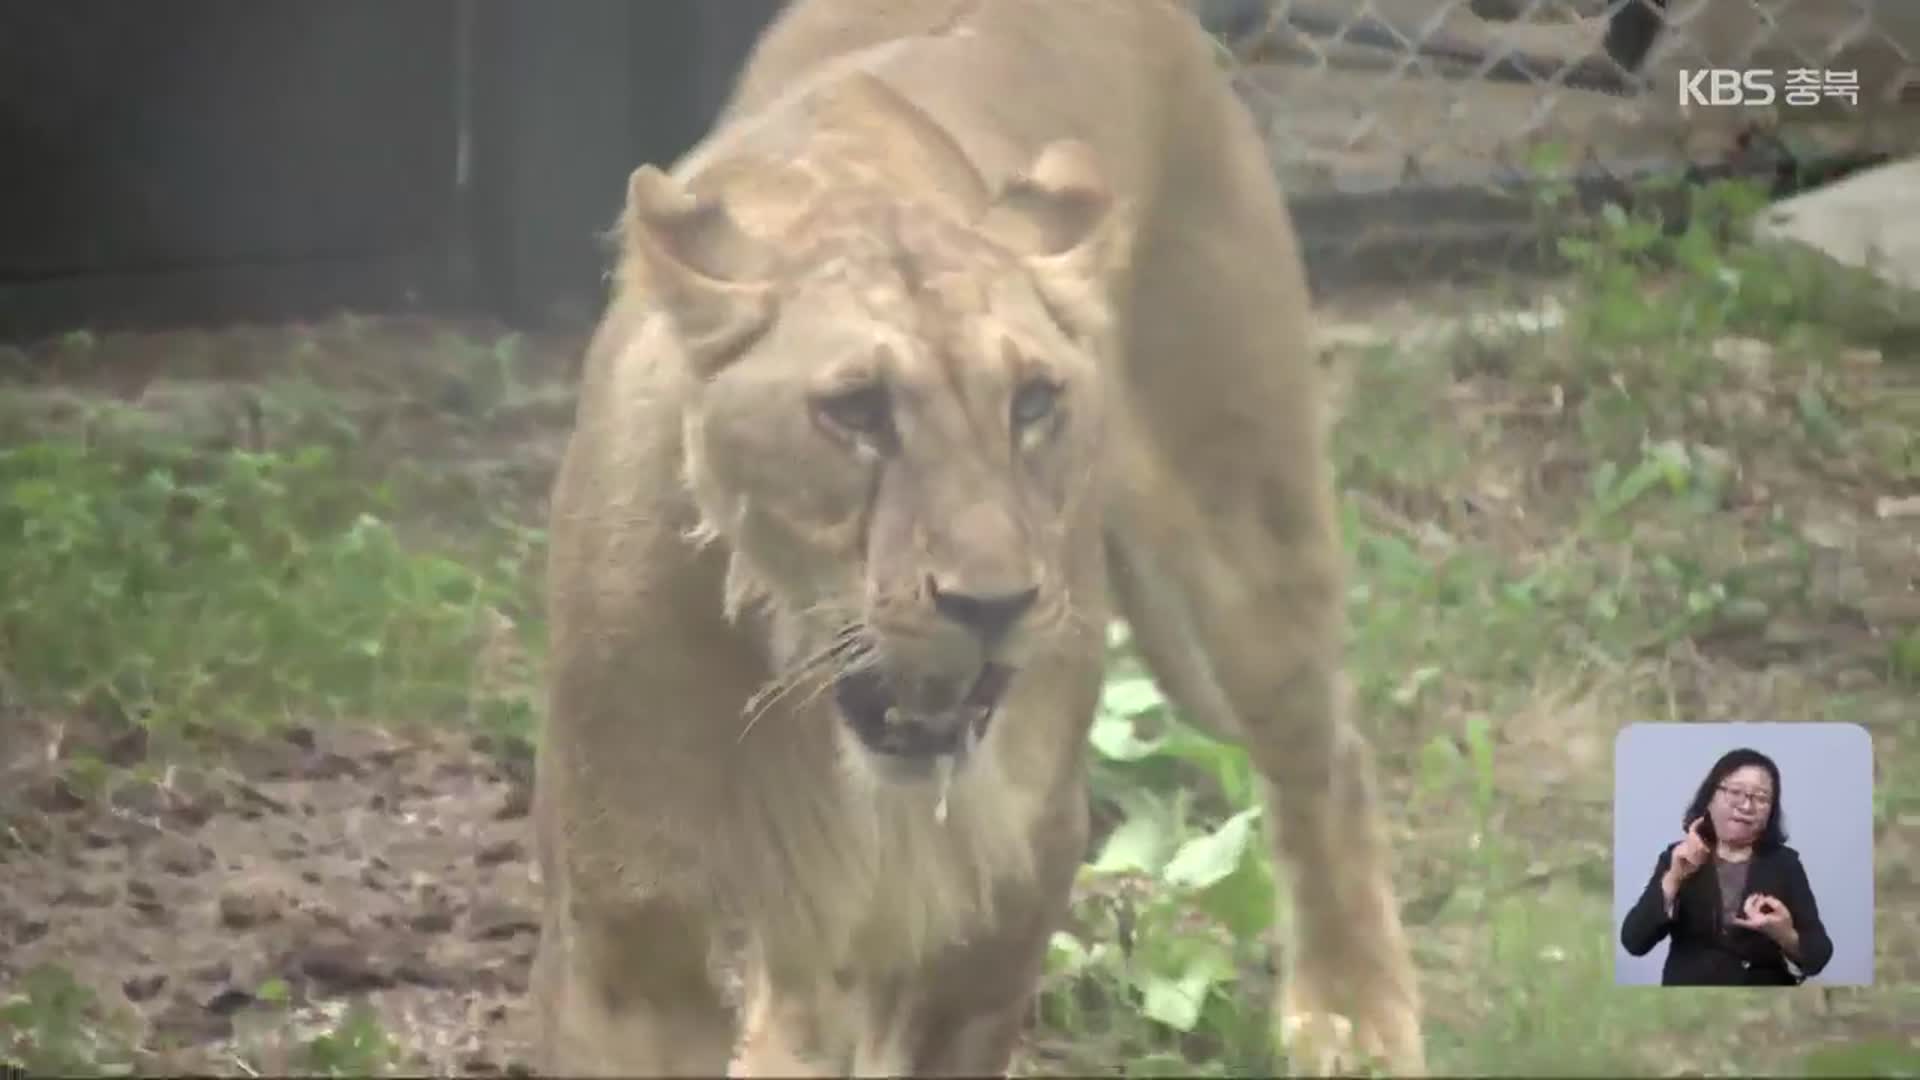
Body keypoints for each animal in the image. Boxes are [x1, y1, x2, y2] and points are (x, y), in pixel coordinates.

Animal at [537, 2, 1428, 1068]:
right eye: (856, 411)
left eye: (1033, 402)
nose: (993, 605)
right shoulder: (634, 931)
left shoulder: (1004, 892)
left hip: (1243, 562)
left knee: (1329, 755)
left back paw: (1353, 1017)